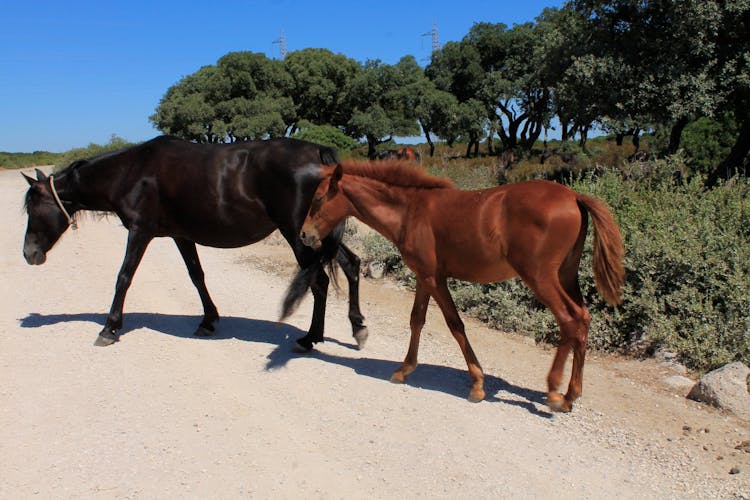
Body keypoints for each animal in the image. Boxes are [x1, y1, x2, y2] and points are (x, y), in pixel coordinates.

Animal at [20, 135, 368, 350]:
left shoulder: (140, 231)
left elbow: (124, 277)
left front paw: (109, 328)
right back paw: (356, 328)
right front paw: (208, 320)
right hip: (315, 235)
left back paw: (310, 339)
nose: (29, 254)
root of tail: (317, 154)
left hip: (297, 234)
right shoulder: (181, 235)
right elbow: (196, 276)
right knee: (351, 265)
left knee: (319, 281)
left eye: (33, 208)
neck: (131, 172)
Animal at [302, 159, 624, 410]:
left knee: (571, 320)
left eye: (317, 198)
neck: (410, 210)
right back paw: (571, 395)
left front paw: (478, 385)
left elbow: (454, 324)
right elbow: (417, 320)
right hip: (566, 275)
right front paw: (404, 370)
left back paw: (555, 391)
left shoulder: (435, 279)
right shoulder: (424, 276)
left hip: (540, 277)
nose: (305, 235)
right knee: (583, 319)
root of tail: (574, 196)